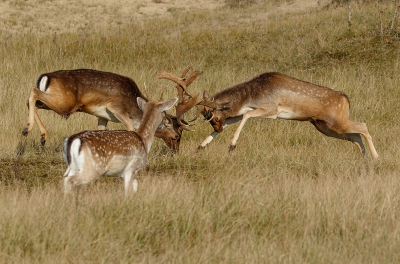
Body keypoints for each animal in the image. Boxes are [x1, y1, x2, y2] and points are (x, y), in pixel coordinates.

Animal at [21, 68, 199, 153]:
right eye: (176, 136)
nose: (176, 152)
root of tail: (44, 77)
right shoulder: (115, 108)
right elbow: (131, 127)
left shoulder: (103, 116)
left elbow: (101, 130)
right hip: (65, 104)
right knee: (32, 93)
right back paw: (27, 130)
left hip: (55, 102)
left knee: (32, 102)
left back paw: (42, 137)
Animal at [159, 70, 378, 159]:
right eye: (209, 119)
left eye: (214, 116)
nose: (218, 128)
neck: (253, 94)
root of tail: (346, 100)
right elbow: (237, 119)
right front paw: (201, 146)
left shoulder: (271, 110)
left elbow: (246, 117)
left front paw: (232, 145)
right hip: (324, 126)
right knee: (356, 136)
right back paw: (366, 159)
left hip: (336, 122)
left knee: (363, 126)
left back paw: (376, 158)